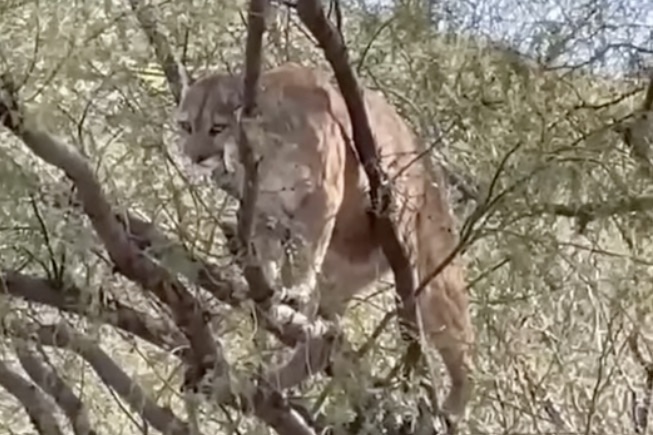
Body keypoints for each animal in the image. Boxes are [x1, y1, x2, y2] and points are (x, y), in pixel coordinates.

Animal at [174, 62, 474, 424]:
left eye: (217, 127)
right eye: (186, 125)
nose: (194, 156)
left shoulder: (323, 195)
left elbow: (308, 250)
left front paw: (296, 288)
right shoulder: (266, 210)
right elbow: (268, 251)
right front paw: (267, 284)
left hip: (429, 271)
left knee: (463, 351)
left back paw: (454, 407)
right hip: (341, 270)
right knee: (327, 338)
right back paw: (266, 383)